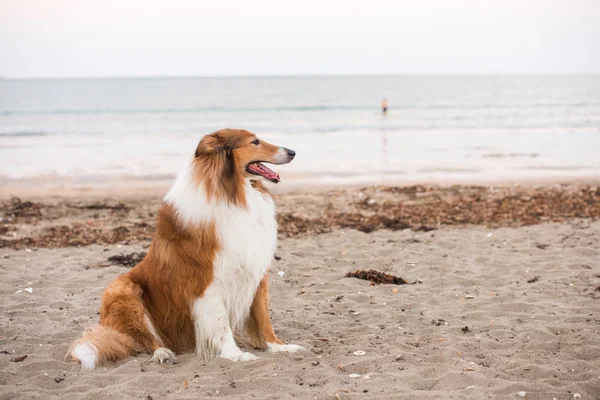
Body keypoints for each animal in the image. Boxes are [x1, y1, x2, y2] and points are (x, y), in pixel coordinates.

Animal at [70, 128, 302, 368]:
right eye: (254, 141)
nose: (293, 152)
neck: (234, 196)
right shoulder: (208, 283)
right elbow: (222, 324)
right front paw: (235, 354)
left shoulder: (256, 273)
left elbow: (264, 317)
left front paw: (279, 346)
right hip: (123, 291)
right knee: (143, 339)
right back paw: (161, 352)